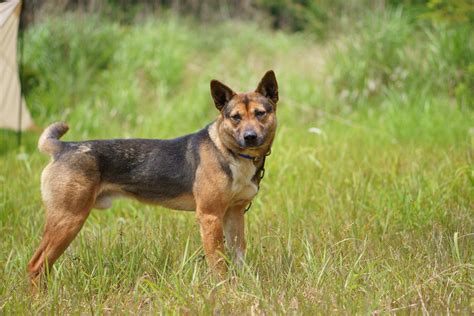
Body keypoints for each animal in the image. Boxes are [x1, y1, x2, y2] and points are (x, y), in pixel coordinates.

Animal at [26, 70, 278, 288]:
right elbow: (218, 263)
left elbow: (239, 256)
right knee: (36, 265)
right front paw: (223, 289)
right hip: (68, 219)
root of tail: (63, 148)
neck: (230, 153)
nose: (250, 137)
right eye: (235, 117)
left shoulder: (234, 213)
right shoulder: (210, 216)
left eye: (260, 113)